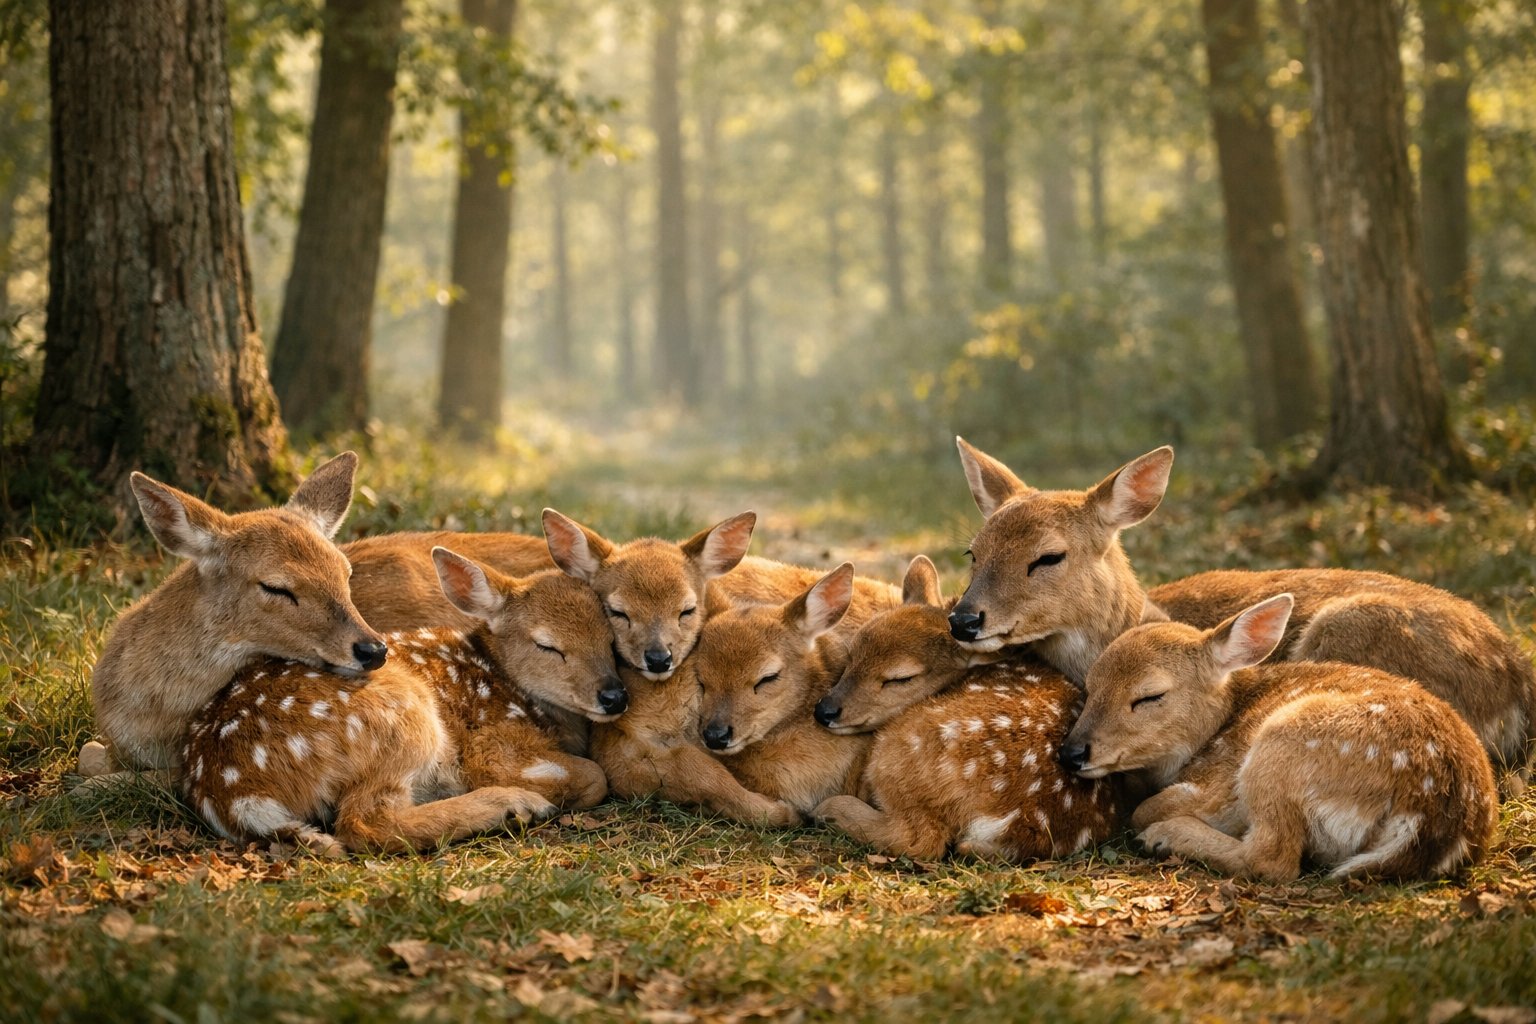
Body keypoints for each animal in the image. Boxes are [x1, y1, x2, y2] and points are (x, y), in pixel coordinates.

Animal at [181, 548, 623, 854]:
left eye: (610, 638)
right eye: (547, 645)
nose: (614, 696)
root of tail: (230, 791)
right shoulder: (493, 745)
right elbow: (595, 776)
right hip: (402, 716)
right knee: (364, 824)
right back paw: (515, 806)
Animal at [812, 556, 1127, 861]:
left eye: (900, 678)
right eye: (852, 653)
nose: (825, 711)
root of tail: (1013, 822)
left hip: (898, 748)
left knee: (921, 838)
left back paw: (829, 810)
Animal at [946, 439, 1536, 793]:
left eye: (1049, 556)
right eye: (973, 551)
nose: (964, 619)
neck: (1146, 613)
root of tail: (1517, 683)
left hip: (1348, 629)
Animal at [1061, 594, 1498, 881]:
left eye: (1150, 695)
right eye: (1090, 684)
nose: (1072, 752)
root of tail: (1427, 816)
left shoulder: (1216, 784)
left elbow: (1146, 808)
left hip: (1283, 746)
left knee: (1273, 859)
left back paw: (1164, 838)